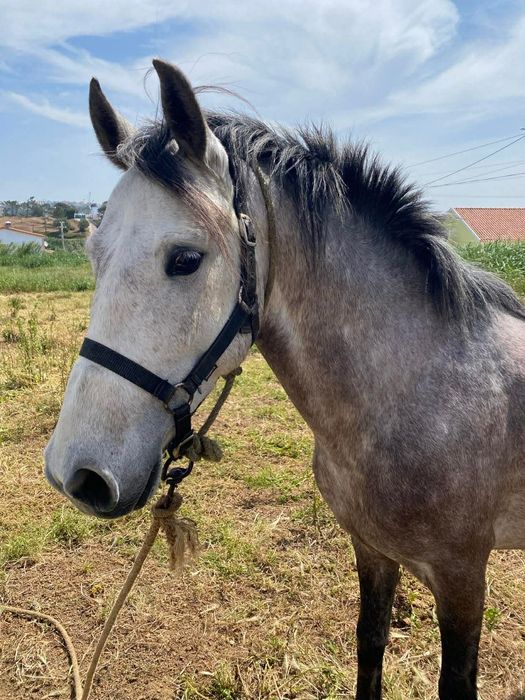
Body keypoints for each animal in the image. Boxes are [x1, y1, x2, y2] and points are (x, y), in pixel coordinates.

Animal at [44, 59, 525, 700]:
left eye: (186, 259)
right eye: (94, 254)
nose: (76, 474)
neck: (422, 392)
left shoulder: (463, 576)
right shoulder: (372, 551)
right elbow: (370, 645)